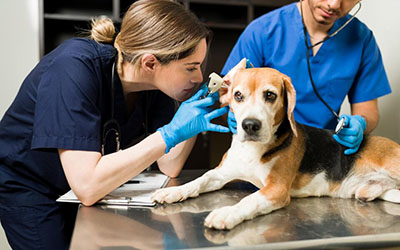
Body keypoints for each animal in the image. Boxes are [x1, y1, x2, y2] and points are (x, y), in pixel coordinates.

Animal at [151, 58, 400, 229]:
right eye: (238, 95)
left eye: (270, 95)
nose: (250, 125)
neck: (251, 151)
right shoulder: (220, 174)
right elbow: (199, 180)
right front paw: (172, 192)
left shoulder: (276, 189)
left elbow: (249, 200)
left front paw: (226, 214)